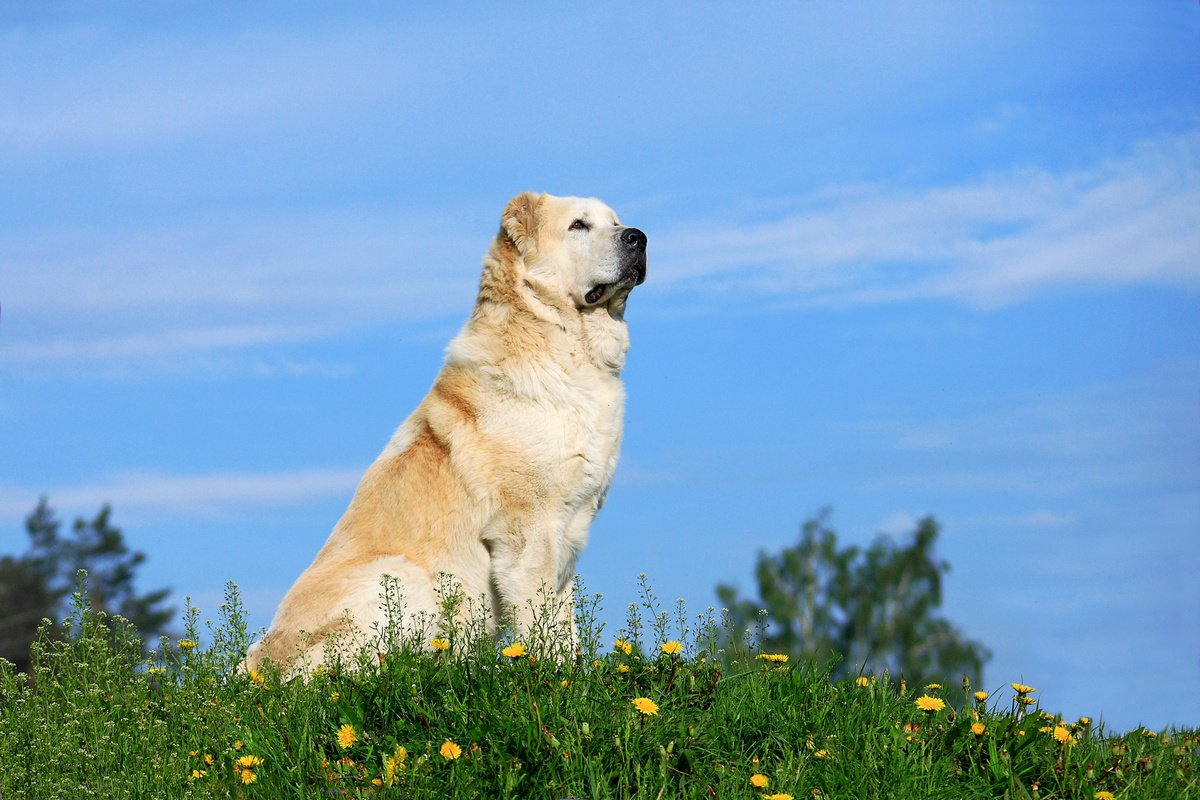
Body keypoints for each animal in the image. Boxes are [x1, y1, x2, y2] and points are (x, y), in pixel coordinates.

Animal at [242, 195, 648, 676]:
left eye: (616, 222)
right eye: (578, 226)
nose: (638, 237)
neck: (564, 345)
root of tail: (255, 670)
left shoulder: (568, 531)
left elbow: (565, 623)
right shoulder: (529, 528)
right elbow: (542, 617)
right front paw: (551, 677)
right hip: (405, 575)